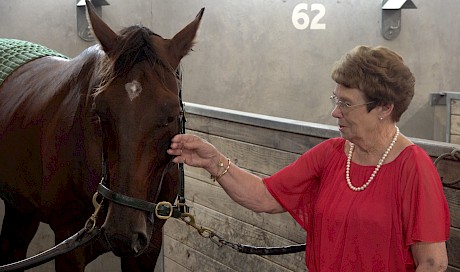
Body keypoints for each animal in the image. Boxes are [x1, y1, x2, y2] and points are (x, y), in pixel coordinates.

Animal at [0, 1, 203, 270]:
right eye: (98, 112)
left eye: (172, 115)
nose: (122, 233)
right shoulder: (69, 247)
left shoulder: (148, 247)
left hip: (21, 209)